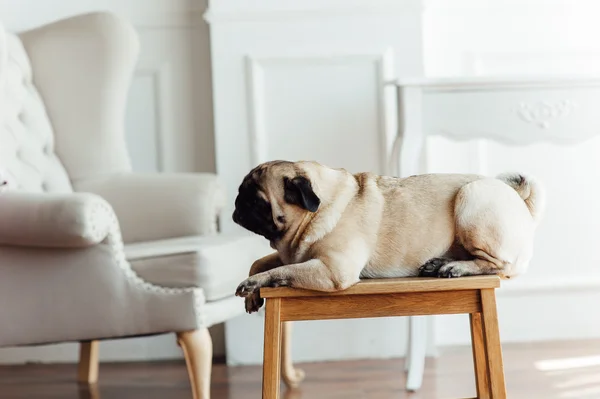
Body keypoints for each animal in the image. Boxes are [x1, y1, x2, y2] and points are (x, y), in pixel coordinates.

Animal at [231, 161, 544, 314]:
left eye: (257, 200)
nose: (237, 203)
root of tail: (518, 198)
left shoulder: (333, 271)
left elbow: (282, 271)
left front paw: (254, 285)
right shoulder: (292, 254)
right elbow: (261, 262)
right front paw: (253, 294)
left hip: (472, 197)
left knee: (498, 266)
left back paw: (456, 267)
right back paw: (439, 263)